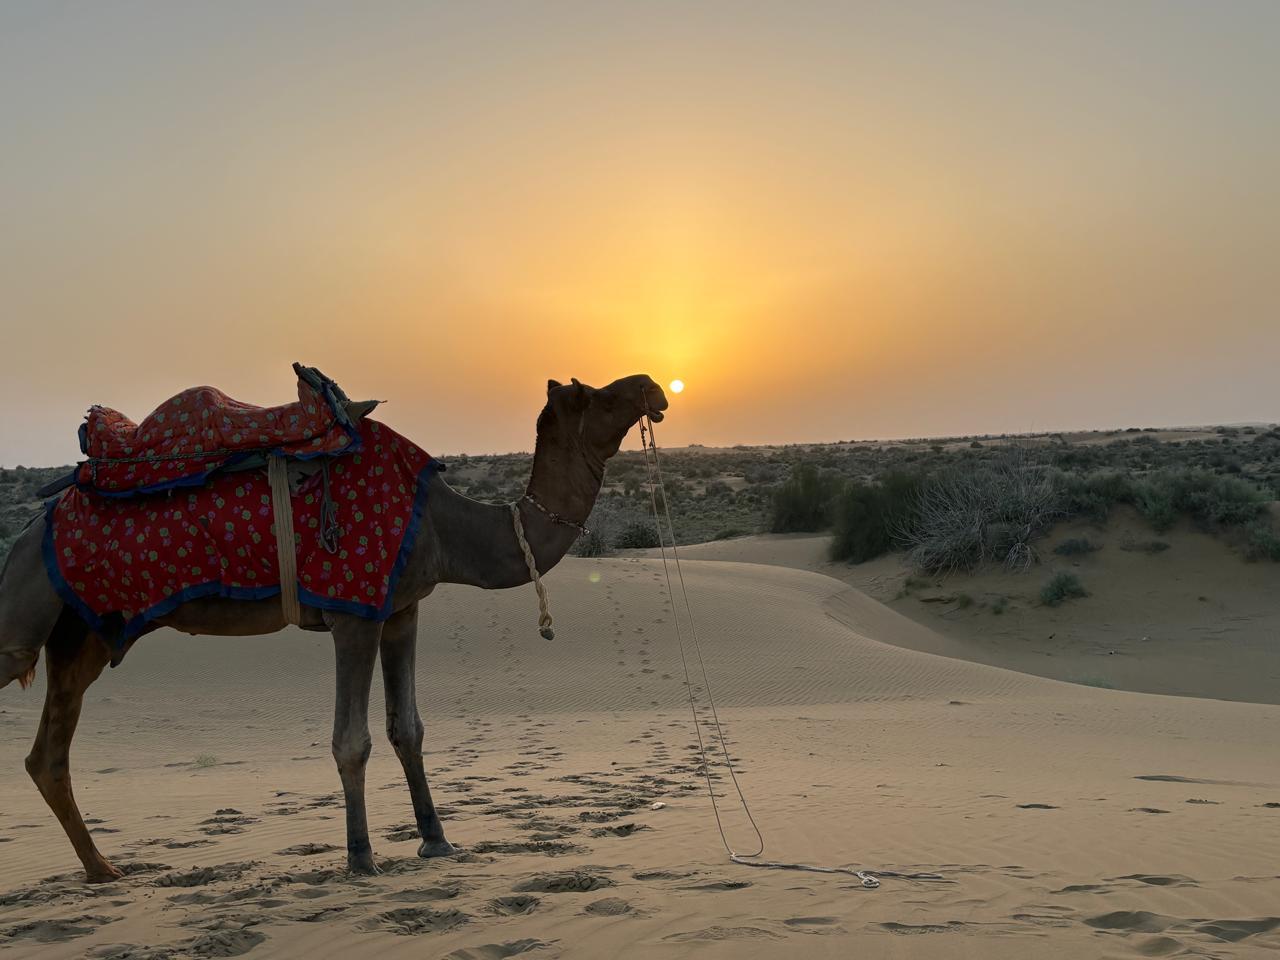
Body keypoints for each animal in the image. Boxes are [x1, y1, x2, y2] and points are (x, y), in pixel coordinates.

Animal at [0, 374, 669, 881]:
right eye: (598, 394)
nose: (653, 386)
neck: (443, 525)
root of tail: (32, 527)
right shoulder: (354, 612)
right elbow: (352, 741)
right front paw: (362, 858)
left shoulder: (400, 609)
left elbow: (408, 729)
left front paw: (437, 841)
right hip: (28, 615)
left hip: (83, 634)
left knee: (47, 756)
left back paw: (104, 870)